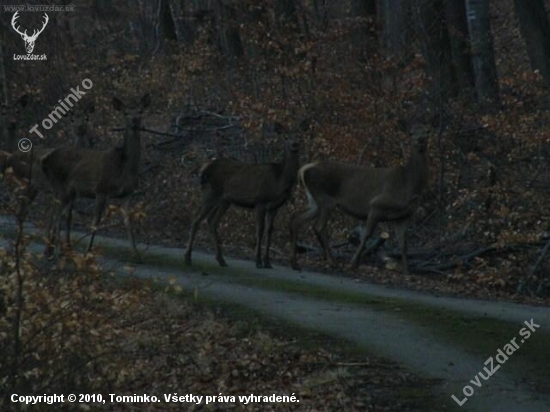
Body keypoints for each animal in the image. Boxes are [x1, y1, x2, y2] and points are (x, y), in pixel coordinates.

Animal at [42, 95, 151, 260]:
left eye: (140, 111)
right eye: (125, 112)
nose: (134, 121)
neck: (123, 167)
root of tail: (46, 159)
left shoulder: (128, 194)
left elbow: (128, 222)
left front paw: (136, 255)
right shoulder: (101, 189)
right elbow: (95, 222)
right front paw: (88, 251)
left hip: (67, 191)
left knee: (59, 213)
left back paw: (54, 250)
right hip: (62, 187)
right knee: (57, 214)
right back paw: (55, 252)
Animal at [185, 137, 302, 268]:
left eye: (297, 138)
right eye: (286, 138)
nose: (294, 145)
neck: (280, 181)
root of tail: (205, 168)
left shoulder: (275, 207)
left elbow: (269, 231)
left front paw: (267, 262)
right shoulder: (260, 201)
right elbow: (260, 230)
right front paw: (258, 261)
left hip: (224, 201)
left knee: (211, 221)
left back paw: (221, 259)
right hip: (211, 193)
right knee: (196, 220)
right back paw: (188, 257)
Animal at [288, 125, 432, 274]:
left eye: (427, 132)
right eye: (411, 133)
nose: (421, 139)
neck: (409, 184)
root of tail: (303, 169)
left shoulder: (404, 216)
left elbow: (403, 244)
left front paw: (407, 272)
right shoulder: (377, 205)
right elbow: (366, 235)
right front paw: (353, 263)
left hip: (314, 201)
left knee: (296, 219)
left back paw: (295, 263)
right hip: (326, 199)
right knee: (319, 227)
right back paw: (332, 261)